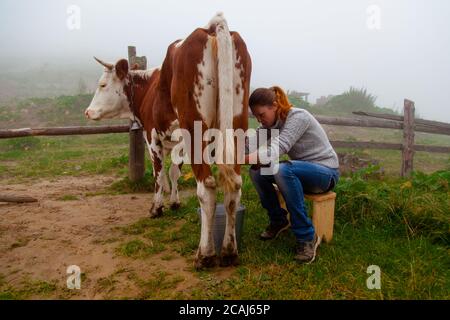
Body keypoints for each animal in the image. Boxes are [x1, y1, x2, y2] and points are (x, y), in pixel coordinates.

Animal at [85, 12, 253, 268]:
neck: (148, 88)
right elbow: (173, 172)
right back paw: (229, 251)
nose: (87, 112)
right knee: (233, 187)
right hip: (236, 123)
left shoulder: (153, 135)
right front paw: (174, 202)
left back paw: (205, 254)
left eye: (102, 85)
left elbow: (159, 174)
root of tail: (211, 28)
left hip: (195, 128)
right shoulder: (177, 142)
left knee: (207, 188)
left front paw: (157, 207)